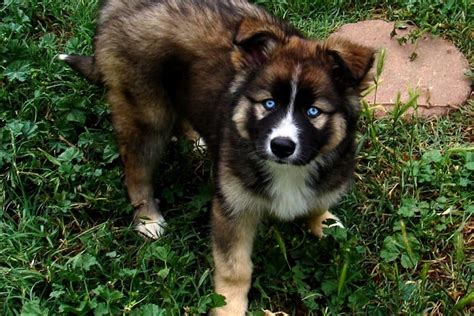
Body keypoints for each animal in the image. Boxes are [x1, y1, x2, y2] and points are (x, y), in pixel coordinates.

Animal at [61, 0, 376, 314]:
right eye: (269, 104)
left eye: (313, 112)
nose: (281, 146)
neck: (288, 171)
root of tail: (112, 9)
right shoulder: (232, 209)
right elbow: (235, 269)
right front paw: (228, 307)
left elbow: (317, 202)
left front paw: (324, 222)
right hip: (146, 111)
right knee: (137, 169)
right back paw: (148, 218)